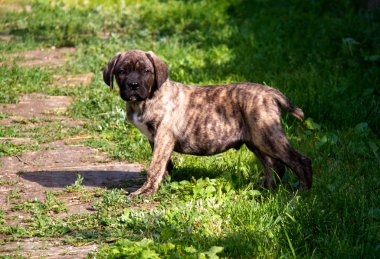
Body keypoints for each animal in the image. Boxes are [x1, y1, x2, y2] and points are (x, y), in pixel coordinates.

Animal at [103, 49, 312, 196]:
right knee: (274, 166)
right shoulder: (155, 140)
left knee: (300, 161)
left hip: (267, 136)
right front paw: (163, 184)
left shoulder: (163, 136)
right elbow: (163, 165)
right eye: (121, 71)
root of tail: (270, 92)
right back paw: (265, 190)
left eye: (146, 71)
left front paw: (144, 191)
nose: (133, 85)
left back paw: (302, 192)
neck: (145, 100)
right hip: (256, 140)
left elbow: (154, 166)